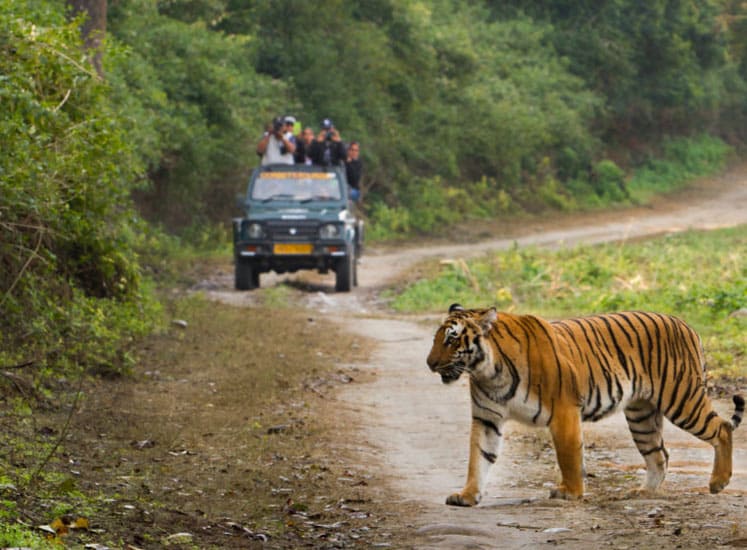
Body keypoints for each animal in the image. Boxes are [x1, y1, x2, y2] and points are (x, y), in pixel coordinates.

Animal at [426, 304, 747, 506]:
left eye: (452, 340)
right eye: (436, 339)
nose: (430, 364)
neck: (487, 371)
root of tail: (685, 324)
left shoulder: (564, 410)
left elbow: (568, 455)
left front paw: (570, 492)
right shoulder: (487, 418)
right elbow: (478, 458)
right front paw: (468, 496)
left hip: (682, 399)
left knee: (721, 429)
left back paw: (718, 482)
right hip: (641, 415)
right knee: (660, 455)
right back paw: (644, 493)